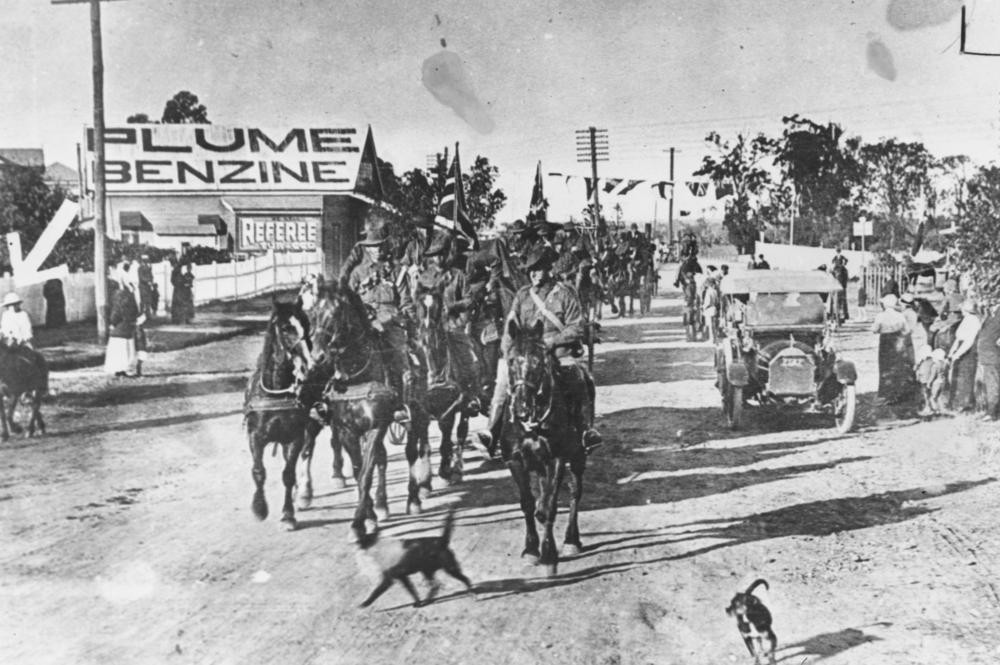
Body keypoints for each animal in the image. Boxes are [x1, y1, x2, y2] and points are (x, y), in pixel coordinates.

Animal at [242, 300, 312, 528]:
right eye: (285, 328)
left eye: (306, 323)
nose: (309, 364)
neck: (276, 391)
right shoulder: (255, 436)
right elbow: (258, 472)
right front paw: (259, 508)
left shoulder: (294, 437)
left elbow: (288, 474)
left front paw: (288, 514)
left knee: (308, 452)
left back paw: (303, 492)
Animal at [504, 320, 588, 572]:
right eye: (511, 360)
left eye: (539, 362)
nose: (521, 409)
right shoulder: (515, 460)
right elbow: (528, 504)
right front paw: (531, 549)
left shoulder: (556, 459)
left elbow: (549, 507)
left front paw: (549, 554)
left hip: (578, 456)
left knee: (575, 492)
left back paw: (571, 540)